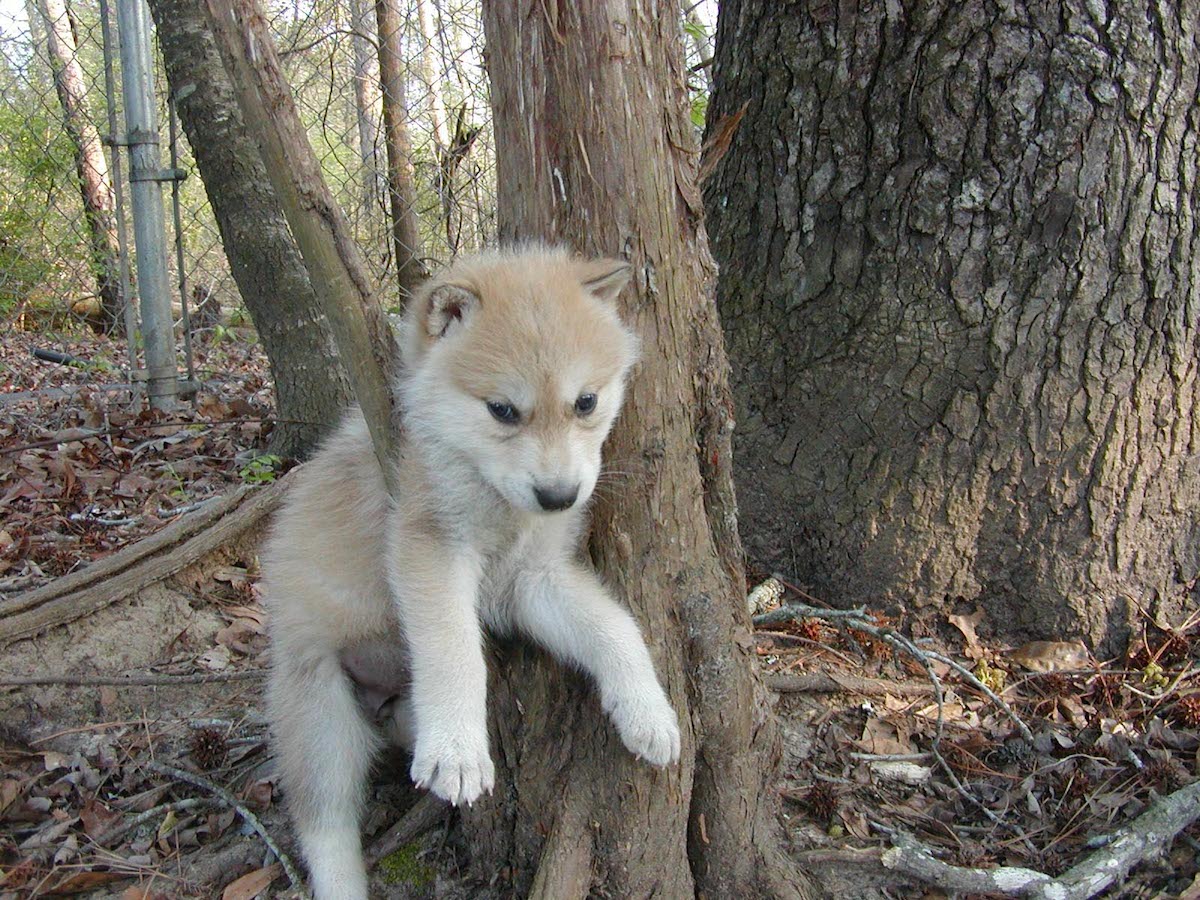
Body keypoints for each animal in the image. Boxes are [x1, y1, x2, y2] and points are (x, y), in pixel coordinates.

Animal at [262, 246, 682, 899]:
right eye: (502, 410)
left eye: (585, 402)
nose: (559, 496)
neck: (490, 494)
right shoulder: (430, 548)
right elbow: (453, 648)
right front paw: (458, 751)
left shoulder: (532, 580)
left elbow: (614, 628)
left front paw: (648, 709)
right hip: (321, 716)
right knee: (325, 827)